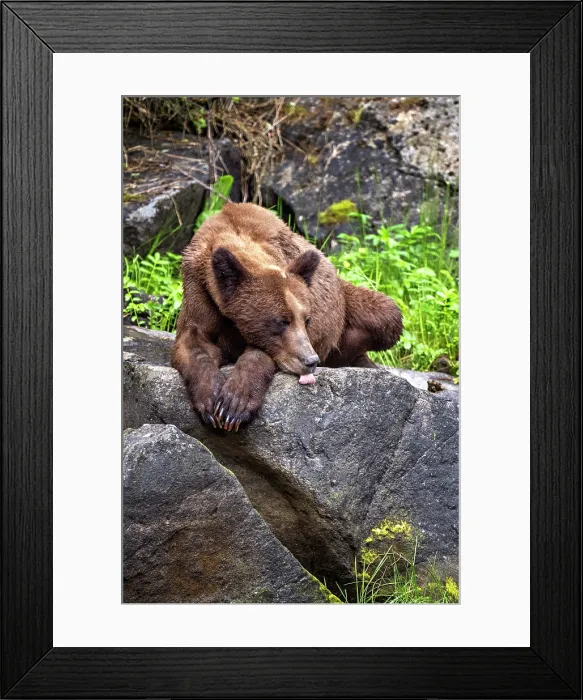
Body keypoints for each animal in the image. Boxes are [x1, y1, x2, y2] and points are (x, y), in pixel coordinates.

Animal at [172, 203, 402, 431]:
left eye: (307, 319)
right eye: (281, 321)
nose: (311, 360)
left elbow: (261, 353)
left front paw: (234, 404)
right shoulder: (200, 289)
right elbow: (193, 341)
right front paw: (211, 399)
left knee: (388, 315)